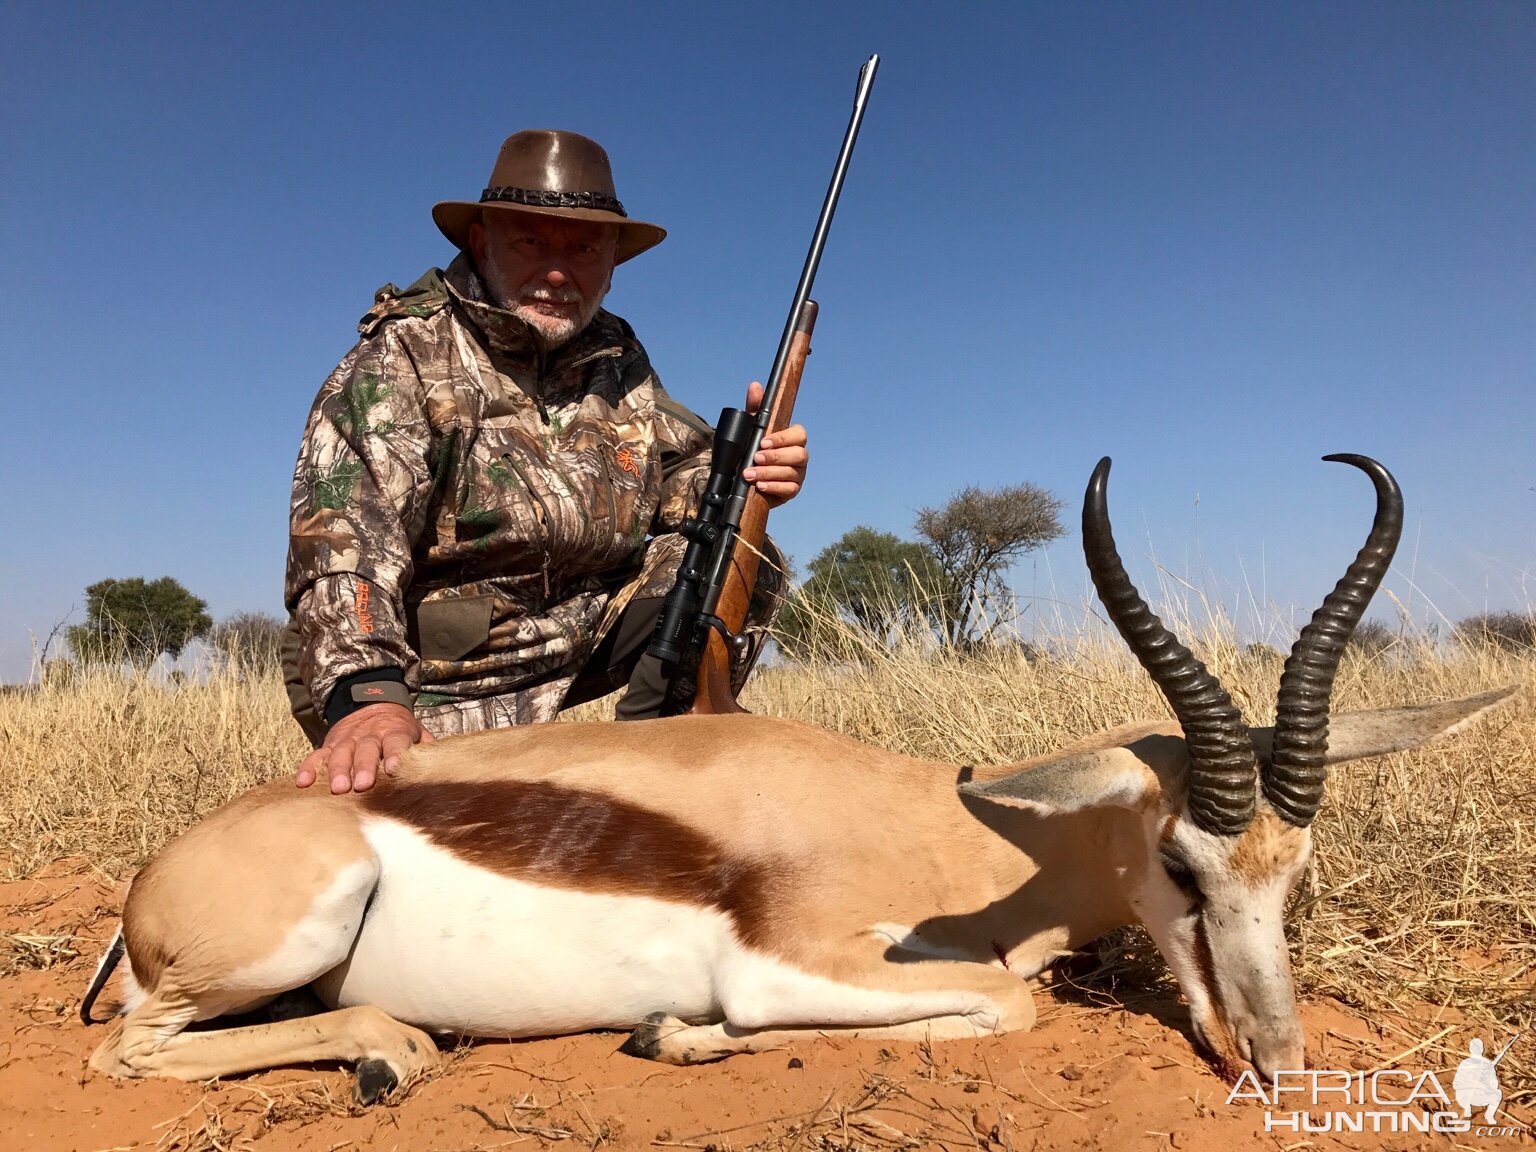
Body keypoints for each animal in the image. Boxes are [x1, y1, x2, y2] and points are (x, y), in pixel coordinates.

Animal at [81, 454, 1511, 1099]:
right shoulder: (788, 966)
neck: (948, 826)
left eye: (1297, 870)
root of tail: (151, 892)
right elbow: (1007, 1004)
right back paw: (391, 1053)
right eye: (1178, 860)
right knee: (131, 1055)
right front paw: (675, 1030)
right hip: (288, 936)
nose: (1278, 1061)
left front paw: (670, 1033)